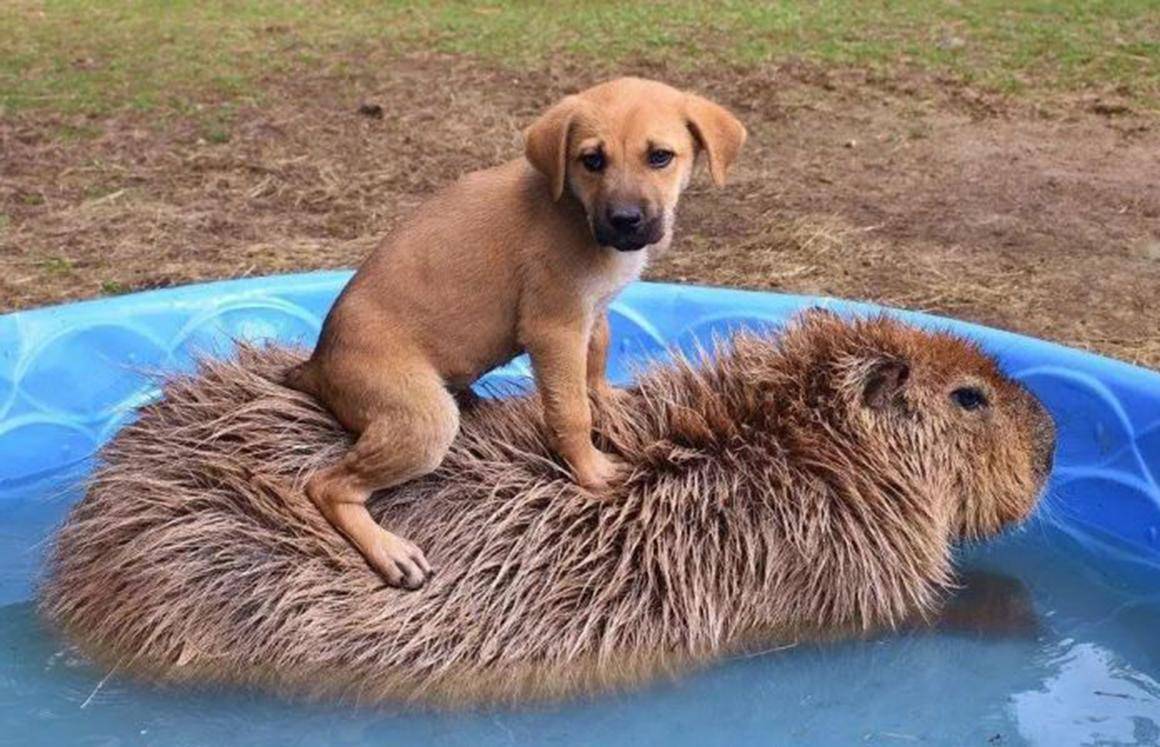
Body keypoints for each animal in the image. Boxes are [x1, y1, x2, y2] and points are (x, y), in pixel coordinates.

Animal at [285, 75, 747, 589]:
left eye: (661, 157)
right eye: (592, 160)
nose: (625, 221)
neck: (574, 208)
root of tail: (317, 365)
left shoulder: (590, 313)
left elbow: (596, 359)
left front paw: (608, 397)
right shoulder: (554, 328)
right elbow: (571, 412)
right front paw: (591, 470)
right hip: (424, 421)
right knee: (325, 486)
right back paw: (390, 551)